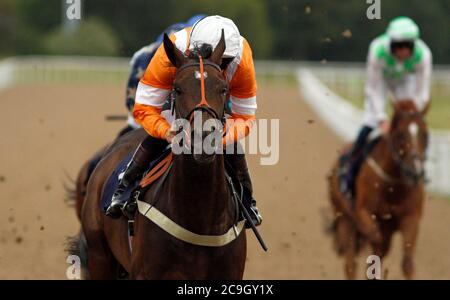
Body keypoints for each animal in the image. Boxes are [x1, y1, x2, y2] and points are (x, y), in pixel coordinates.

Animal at [328, 100, 428, 278]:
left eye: (425, 134)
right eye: (400, 135)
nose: (416, 172)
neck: (393, 188)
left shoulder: (411, 218)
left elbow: (407, 263)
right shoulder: (364, 213)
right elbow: (375, 239)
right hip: (344, 218)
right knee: (350, 264)